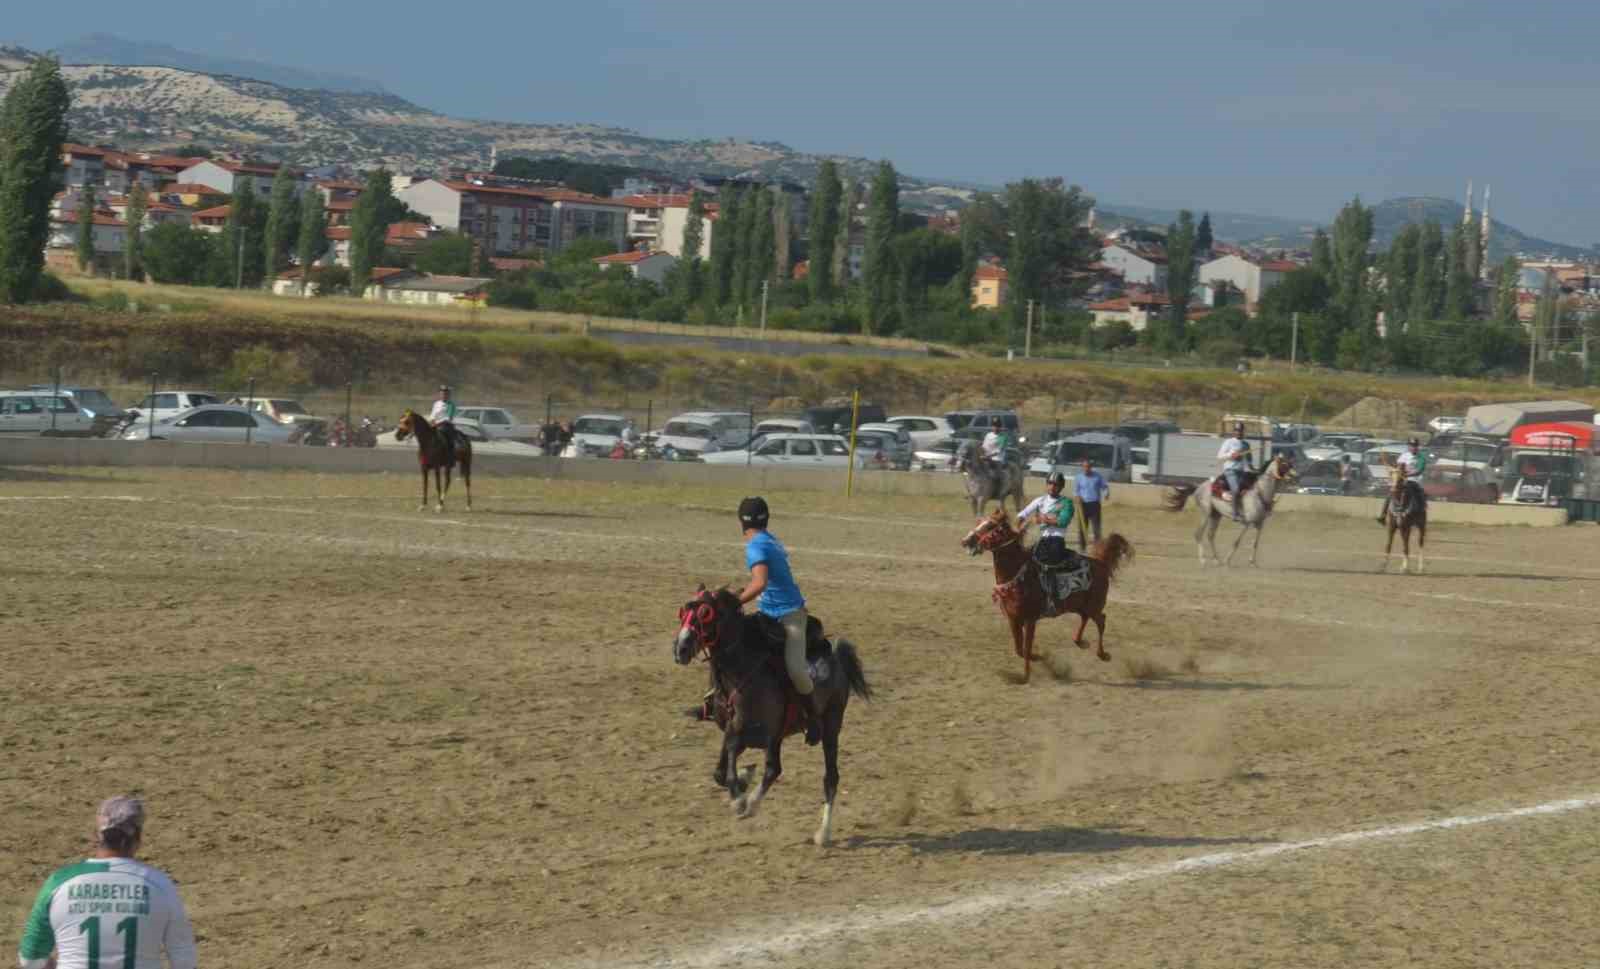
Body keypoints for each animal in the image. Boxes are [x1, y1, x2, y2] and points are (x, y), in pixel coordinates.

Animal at [675, 585, 876, 850]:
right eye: (683, 613)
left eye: (705, 614)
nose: (680, 649)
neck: (740, 672)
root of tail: (837, 656)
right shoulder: (736, 730)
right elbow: (721, 769)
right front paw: (743, 780)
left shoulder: (761, 732)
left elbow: (744, 760)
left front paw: (741, 800)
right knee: (775, 769)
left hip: (830, 726)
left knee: (826, 777)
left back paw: (822, 833)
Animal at [953, 511, 1132, 687]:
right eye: (980, 522)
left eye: (990, 526)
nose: (965, 541)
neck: (1018, 576)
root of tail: (1101, 563)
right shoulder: (1013, 619)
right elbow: (1019, 649)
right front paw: (1039, 658)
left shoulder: (1030, 620)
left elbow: (1025, 649)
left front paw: (1025, 677)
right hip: (1081, 605)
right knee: (1085, 618)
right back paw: (1080, 641)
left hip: (1095, 605)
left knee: (1101, 621)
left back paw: (1103, 654)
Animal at [1164, 454, 1299, 569]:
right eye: (1284, 464)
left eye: (1291, 464)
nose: (1296, 476)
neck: (1260, 492)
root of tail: (1199, 486)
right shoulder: (1246, 523)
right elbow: (1237, 542)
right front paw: (1228, 561)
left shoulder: (1259, 524)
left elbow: (1255, 543)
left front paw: (1252, 563)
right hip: (1206, 513)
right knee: (1198, 534)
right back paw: (1203, 561)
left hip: (1216, 515)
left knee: (1210, 535)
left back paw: (1217, 560)